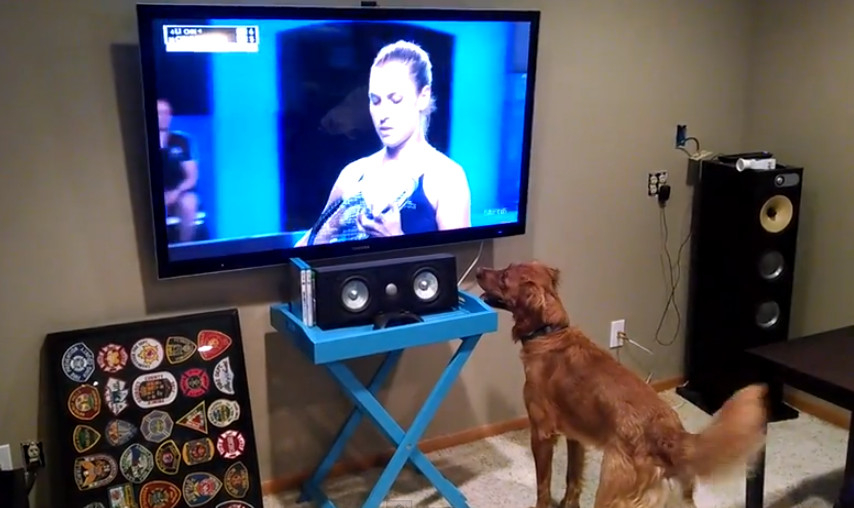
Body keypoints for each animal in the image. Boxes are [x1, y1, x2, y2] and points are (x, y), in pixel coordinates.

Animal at [478, 262, 772, 508]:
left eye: (504, 277)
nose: (479, 271)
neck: (549, 333)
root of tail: (671, 436)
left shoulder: (541, 433)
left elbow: (543, 485)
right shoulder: (576, 436)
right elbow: (572, 481)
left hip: (612, 490)